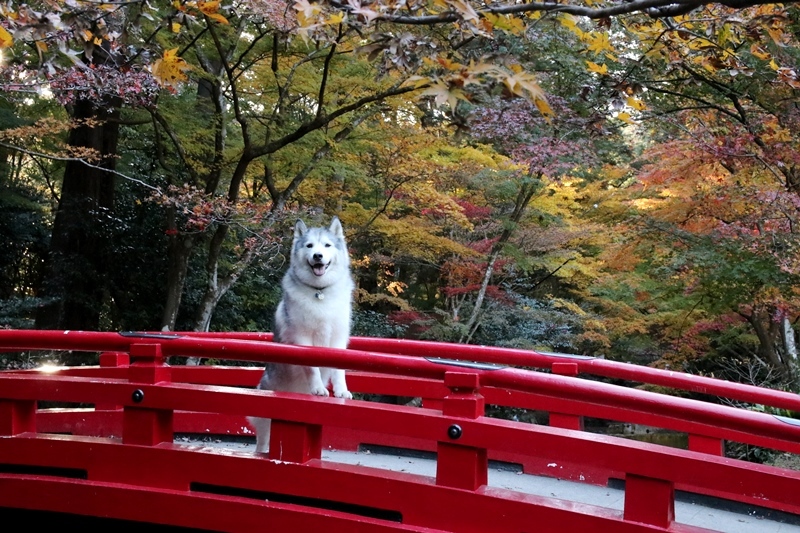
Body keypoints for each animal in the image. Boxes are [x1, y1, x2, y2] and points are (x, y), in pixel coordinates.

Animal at [248, 216, 352, 454]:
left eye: (327, 245)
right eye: (310, 246)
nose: (318, 256)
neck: (320, 292)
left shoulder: (338, 338)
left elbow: (339, 370)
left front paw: (341, 391)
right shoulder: (303, 338)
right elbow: (312, 367)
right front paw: (318, 388)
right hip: (266, 415)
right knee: (263, 439)